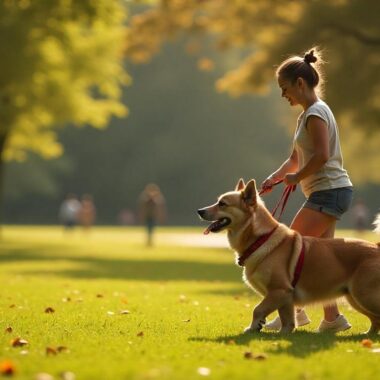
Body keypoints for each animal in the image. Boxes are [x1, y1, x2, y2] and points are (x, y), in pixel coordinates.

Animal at [197, 178, 380, 332]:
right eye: (218, 202)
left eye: (222, 204)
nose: (199, 211)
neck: (260, 239)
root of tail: (376, 246)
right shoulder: (285, 298)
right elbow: (287, 321)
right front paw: (282, 333)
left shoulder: (279, 290)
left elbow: (258, 309)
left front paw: (253, 327)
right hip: (354, 298)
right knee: (375, 320)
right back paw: (367, 335)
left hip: (363, 295)